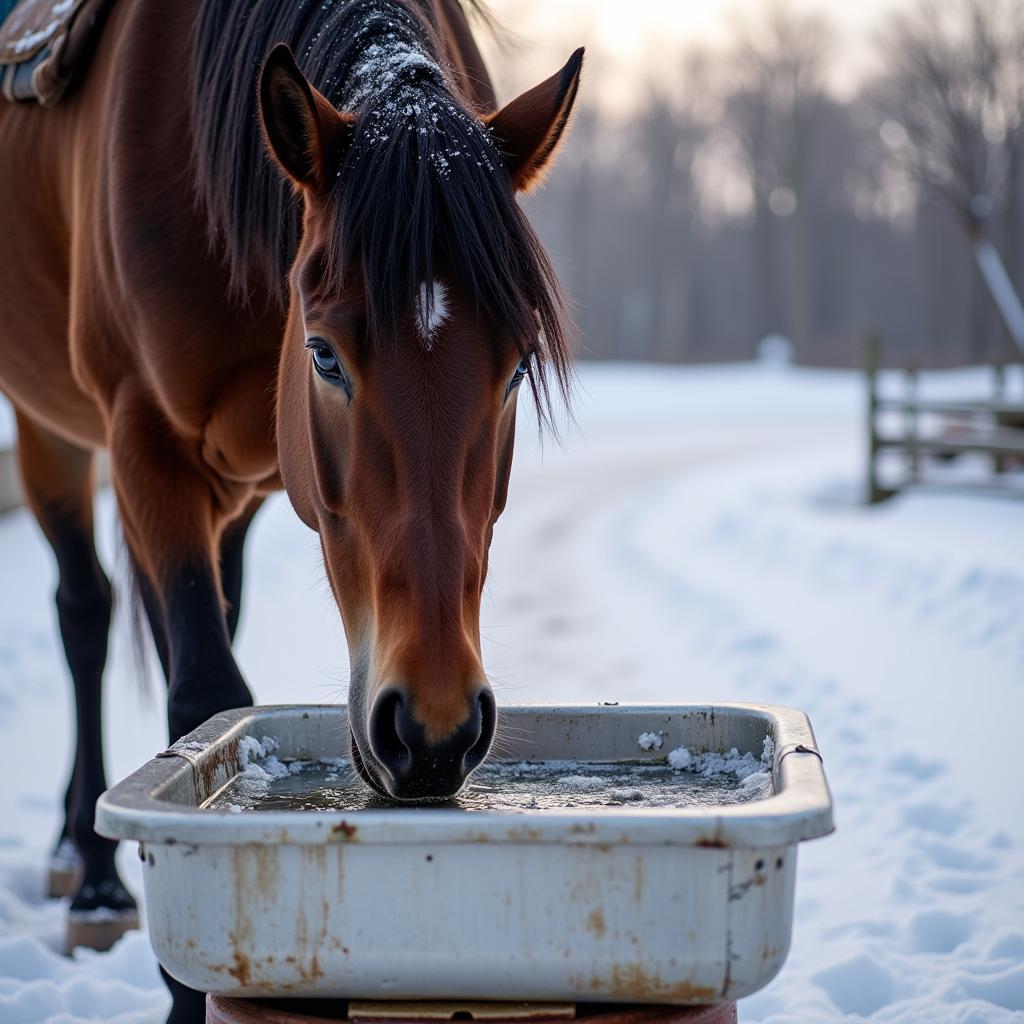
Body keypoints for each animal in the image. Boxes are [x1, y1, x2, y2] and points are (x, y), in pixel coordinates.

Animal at [0, 0, 581, 1015]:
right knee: (85, 614)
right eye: (323, 355)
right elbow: (201, 694)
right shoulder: (143, 440)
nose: (433, 725)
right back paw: (93, 874)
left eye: (515, 368)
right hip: (53, 431)